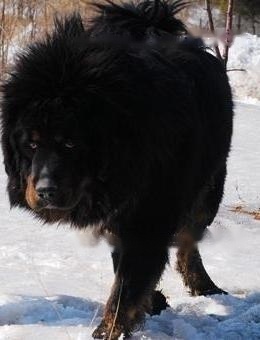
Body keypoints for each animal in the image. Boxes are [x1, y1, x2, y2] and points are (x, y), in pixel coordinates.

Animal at [1, 1, 234, 338]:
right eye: (31, 145)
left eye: (70, 144)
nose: (44, 191)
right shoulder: (122, 213)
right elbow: (126, 274)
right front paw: (148, 305)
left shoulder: (148, 218)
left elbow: (126, 289)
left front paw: (109, 330)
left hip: (209, 189)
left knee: (189, 241)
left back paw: (204, 285)